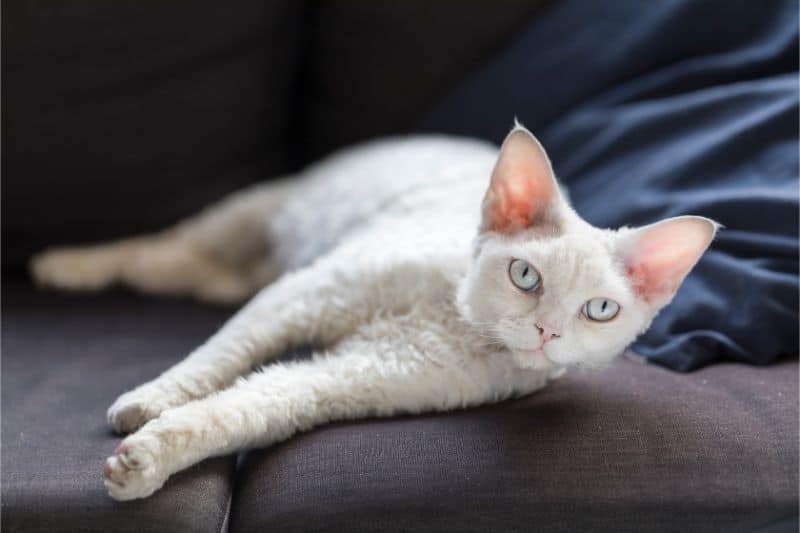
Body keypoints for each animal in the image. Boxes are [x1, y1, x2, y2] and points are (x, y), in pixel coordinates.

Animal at [32, 123, 720, 498]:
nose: (547, 330)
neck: (451, 317)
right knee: (158, 245)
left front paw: (144, 460)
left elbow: (250, 403)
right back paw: (65, 265)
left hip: (245, 265)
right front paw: (149, 400)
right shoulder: (304, 293)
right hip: (251, 213)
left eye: (599, 309)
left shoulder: (358, 376)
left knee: (184, 268)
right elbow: (215, 357)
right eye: (525, 275)